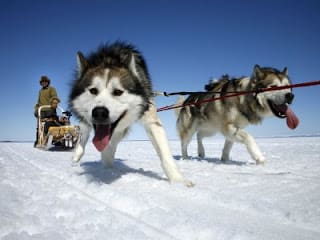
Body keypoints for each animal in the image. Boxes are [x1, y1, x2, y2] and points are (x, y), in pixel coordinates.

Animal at [69, 41, 191, 186]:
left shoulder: (151, 120)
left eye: (118, 92)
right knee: (85, 129)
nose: (99, 112)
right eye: (93, 90)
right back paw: (78, 153)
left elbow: (164, 153)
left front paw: (178, 180)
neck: (109, 59)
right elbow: (88, 133)